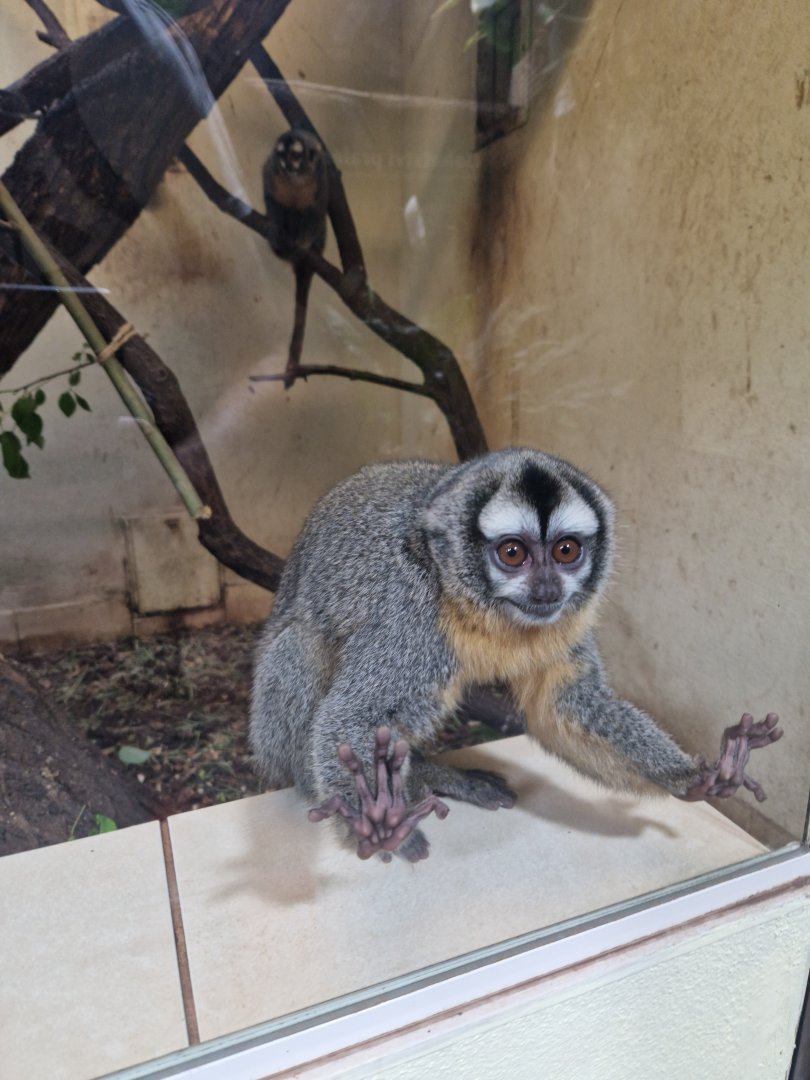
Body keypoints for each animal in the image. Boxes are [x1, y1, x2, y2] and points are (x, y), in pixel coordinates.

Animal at [250, 449, 783, 863]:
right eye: (512, 554)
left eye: (566, 551)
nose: (547, 588)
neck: (477, 605)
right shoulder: (412, 614)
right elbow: (354, 715)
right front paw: (379, 825)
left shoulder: (568, 617)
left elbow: (563, 705)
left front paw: (697, 778)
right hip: (274, 741)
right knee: (300, 647)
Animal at [262, 128, 329, 388]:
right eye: (281, 156)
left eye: (295, 156)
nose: (286, 166)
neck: (295, 181)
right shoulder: (269, 172)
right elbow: (271, 199)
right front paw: (274, 226)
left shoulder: (322, 181)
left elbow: (317, 212)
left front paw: (305, 243)